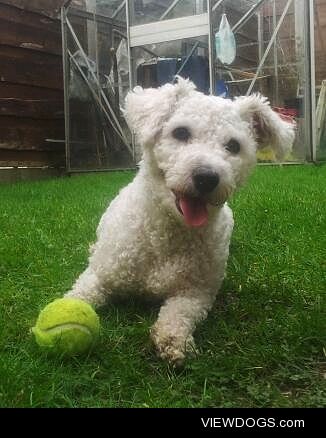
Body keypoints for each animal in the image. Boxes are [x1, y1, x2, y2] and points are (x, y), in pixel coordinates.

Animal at [65, 78, 294, 366]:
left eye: (233, 146)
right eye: (181, 132)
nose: (207, 177)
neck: (167, 233)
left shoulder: (195, 294)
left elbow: (178, 314)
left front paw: (173, 341)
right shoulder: (99, 276)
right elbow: (79, 295)